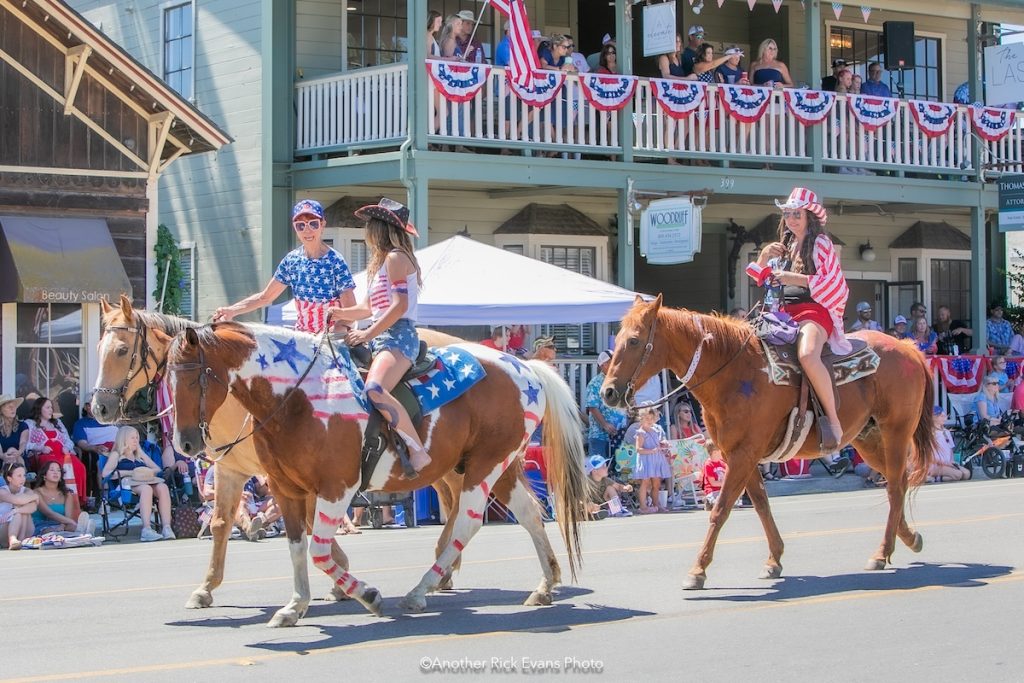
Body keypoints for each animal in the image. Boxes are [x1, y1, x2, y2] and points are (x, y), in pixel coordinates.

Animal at [91, 294, 557, 626]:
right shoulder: (259, 477)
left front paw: (355, 589)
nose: (99, 407)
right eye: (100, 348)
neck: (293, 394)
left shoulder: (333, 486)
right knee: (527, 513)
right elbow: (262, 533)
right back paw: (542, 584)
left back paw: (424, 587)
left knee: (467, 519)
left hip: (483, 467)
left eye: (121, 351)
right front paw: (282, 600)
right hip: (490, 467)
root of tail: (523, 368)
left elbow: (316, 542)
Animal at [598, 296, 937, 589]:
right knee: (898, 481)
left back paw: (882, 552)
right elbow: (761, 504)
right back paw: (908, 538)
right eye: (618, 339)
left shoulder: (744, 455)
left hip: (896, 432)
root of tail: (908, 348)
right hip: (867, 439)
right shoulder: (738, 454)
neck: (734, 373)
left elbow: (720, 509)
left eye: (634, 340)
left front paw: (698, 570)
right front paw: (774, 559)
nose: (608, 392)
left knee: (895, 486)